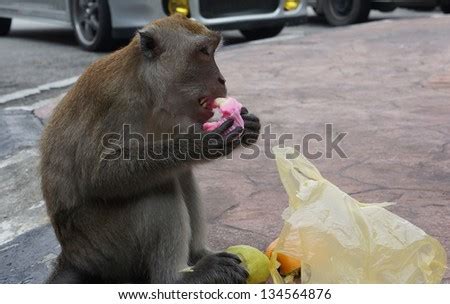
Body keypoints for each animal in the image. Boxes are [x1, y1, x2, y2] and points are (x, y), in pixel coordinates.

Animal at [41, 13, 264, 284]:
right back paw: (178, 278)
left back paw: (198, 255)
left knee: (178, 174)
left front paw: (247, 124)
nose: (222, 80)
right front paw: (201, 144)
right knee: (158, 188)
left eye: (211, 51)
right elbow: (100, 175)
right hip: (103, 246)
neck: (146, 87)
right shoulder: (118, 104)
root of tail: (72, 256)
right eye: (203, 51)